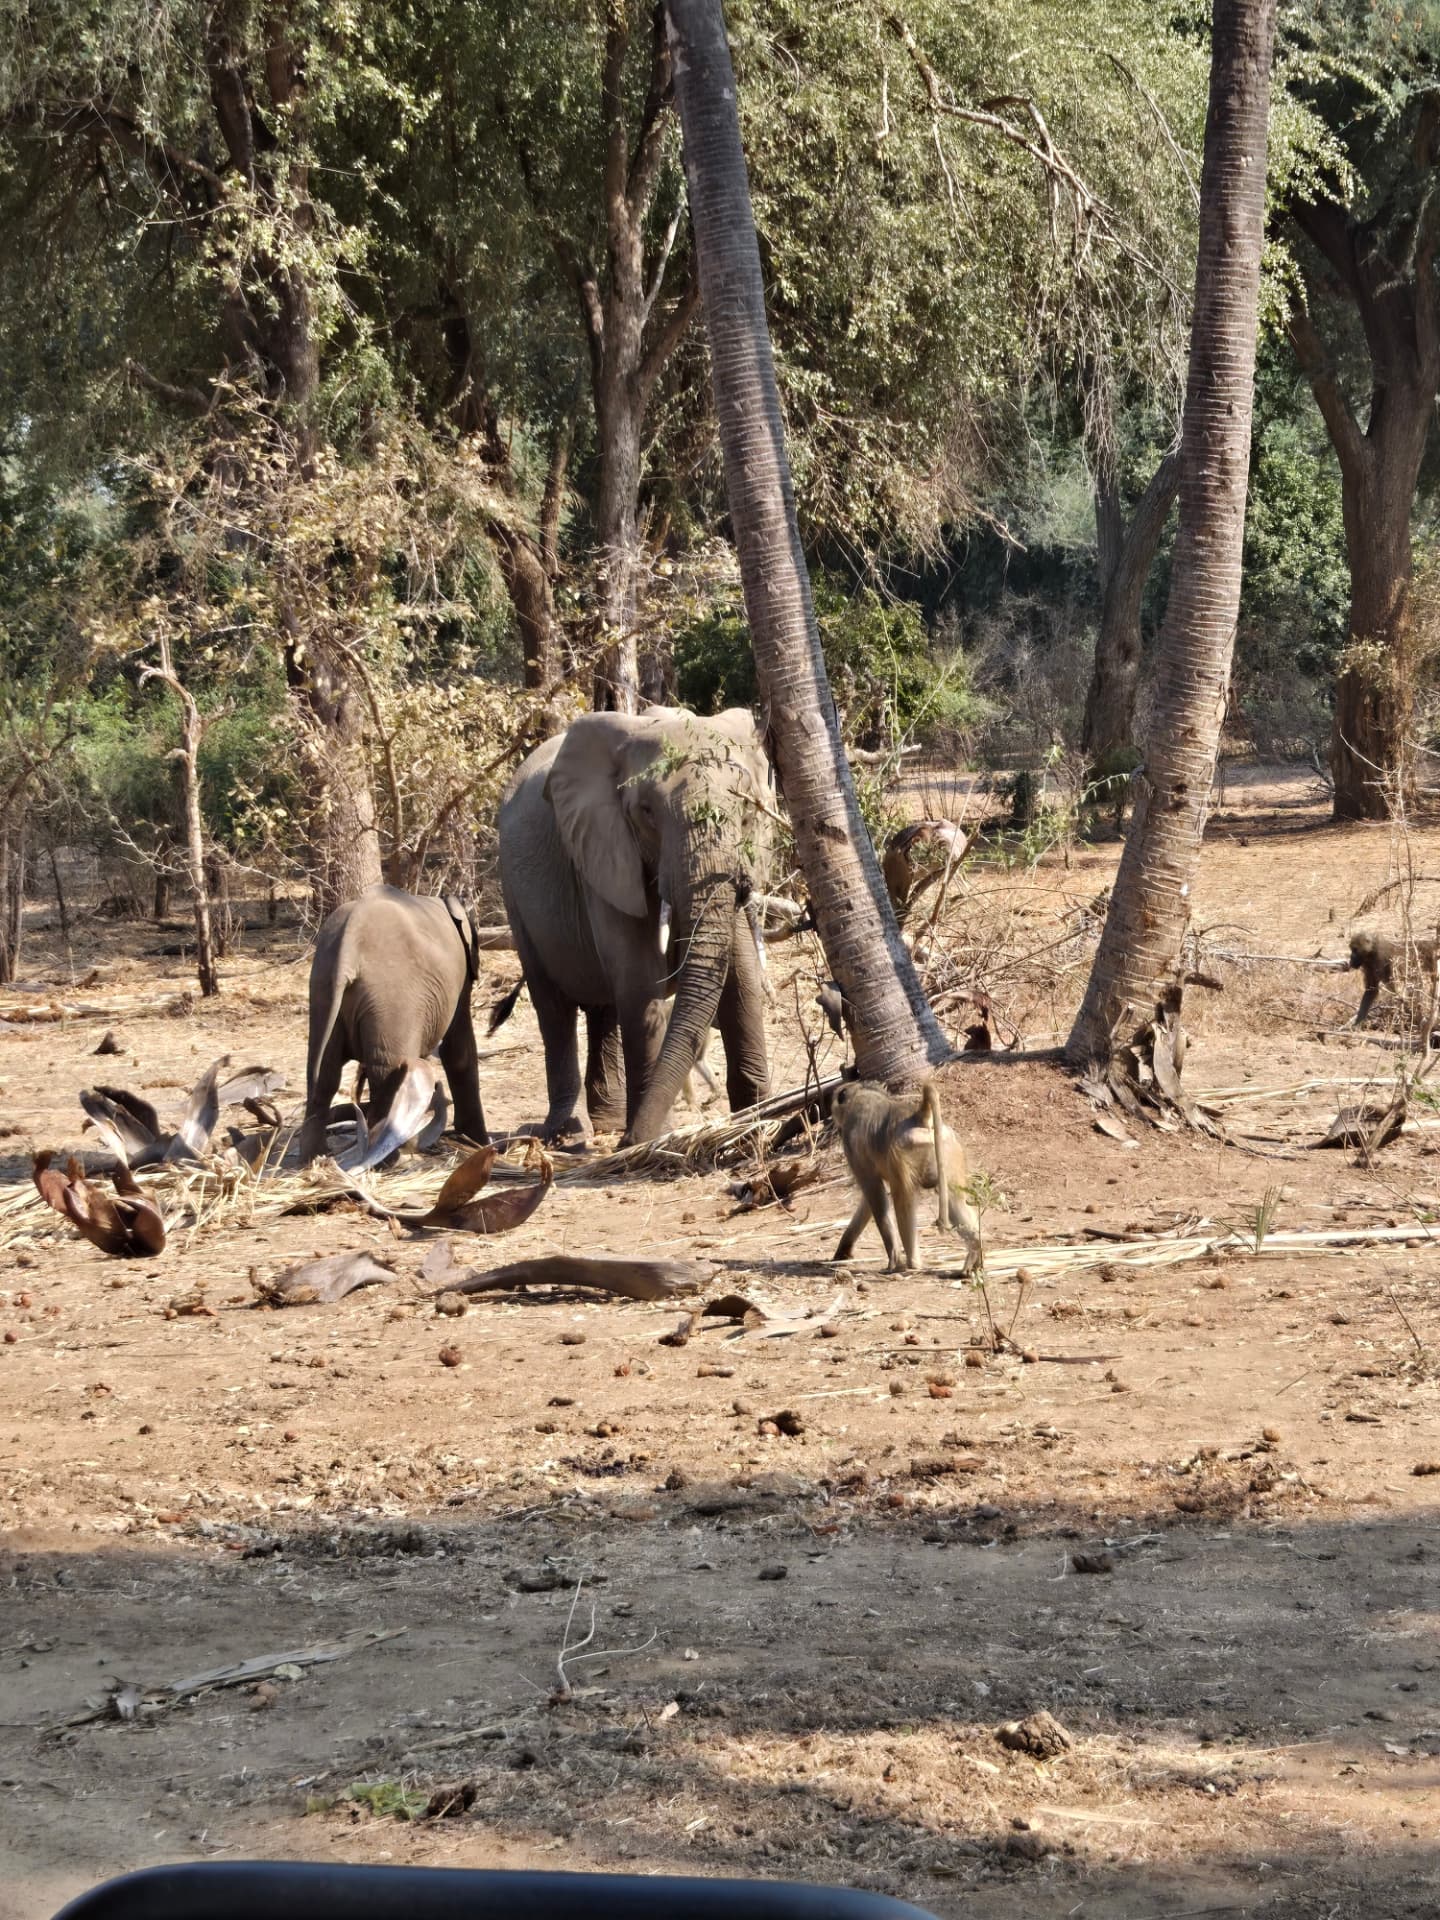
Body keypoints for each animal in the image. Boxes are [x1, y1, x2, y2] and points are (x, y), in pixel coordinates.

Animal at [298, 885, 489, 1164]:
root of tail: (349, 943)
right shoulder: (460, 978)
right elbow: (458, 1048)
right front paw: (479, 1143)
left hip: (323, 990)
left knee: (324, 1072)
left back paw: (315, 1157)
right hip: (392, 999)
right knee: (388, 1070)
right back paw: (396, 1154)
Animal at [497, 706, 775, 1143]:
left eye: (748, 811)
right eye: (646, 812)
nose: (631, 1140)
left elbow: (740, 973)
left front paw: (758, 1119)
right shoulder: (600, 847)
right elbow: (639, 973)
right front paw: (652, 1139)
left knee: (603, 1007)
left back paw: (609, 1123)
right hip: (514, 892)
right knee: (554, 1006)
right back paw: (571, 1135)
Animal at [830, 1079, 982, 1275]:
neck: (860, 1094)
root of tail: (919, 1117)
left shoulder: (851, 1143)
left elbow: (875, 1195)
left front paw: (894, 1259)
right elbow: (868, 1202)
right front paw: (843, 1250)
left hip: (904, 1151)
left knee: (902, 1199)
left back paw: (912, 1264)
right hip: (949, 1147)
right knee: (954, 1199)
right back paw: (975, 1253)